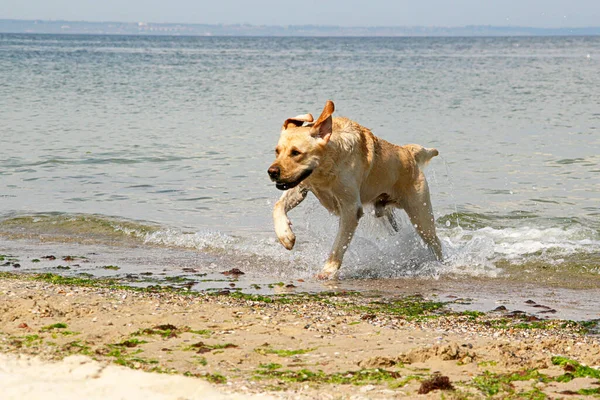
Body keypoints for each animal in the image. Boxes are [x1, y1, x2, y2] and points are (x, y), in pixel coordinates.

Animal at [268, 100, 440, 278]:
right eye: (277, 151)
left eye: (296, 152)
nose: (272, 172)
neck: (327, 166)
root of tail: (409, 153)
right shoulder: (301, 186)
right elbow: (277, 206)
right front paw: (286, 236)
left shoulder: (350, 208)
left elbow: (339, 244)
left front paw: (328, 270)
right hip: (387, 215)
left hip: (421, 215)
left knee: (435, 242)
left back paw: (439, 263)